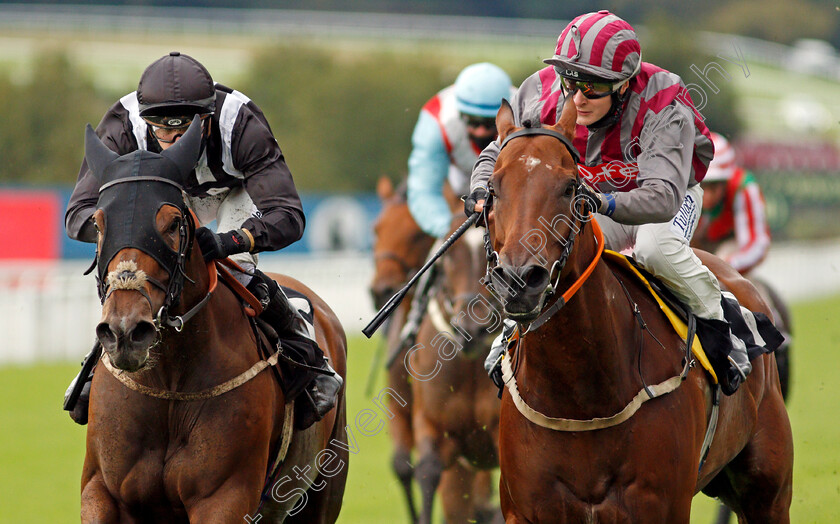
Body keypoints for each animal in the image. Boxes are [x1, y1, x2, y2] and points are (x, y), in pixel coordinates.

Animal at [81, 121, 348, 520]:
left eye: (174, 223)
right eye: (98, 224)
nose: (125, 331)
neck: (170, 384)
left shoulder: (225, 497)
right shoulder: (101, 490)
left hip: (324, 485)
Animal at [482, 100, 792, 520]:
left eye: (568, 188)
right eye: (493, 189)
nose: (519, 278)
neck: (580, 396)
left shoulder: (662, 506)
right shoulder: (527, 509)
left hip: (767, 491)